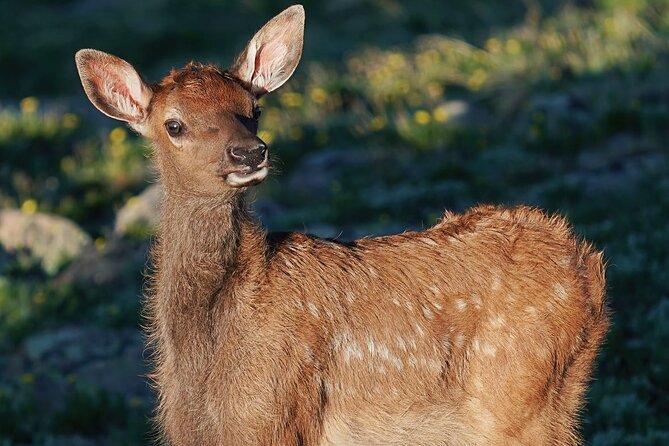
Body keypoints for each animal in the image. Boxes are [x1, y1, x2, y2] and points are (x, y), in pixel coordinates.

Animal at [74, 5, 608, 445]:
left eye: (254, 110)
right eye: (174, 124)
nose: (250, 152)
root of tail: (587, 268)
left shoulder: (274, 415)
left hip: (520, 400)